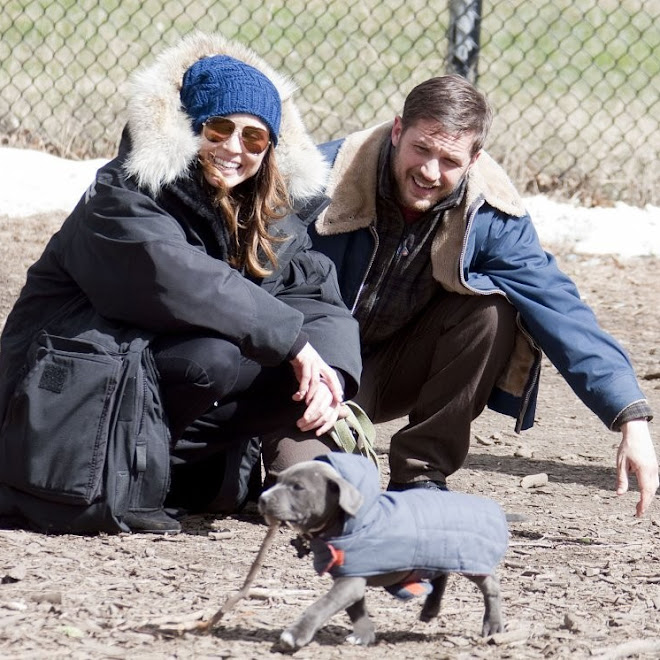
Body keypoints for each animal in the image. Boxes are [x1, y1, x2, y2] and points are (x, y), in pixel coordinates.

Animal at [258, 454, 510, 648]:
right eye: (278, 480)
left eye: (298, 487)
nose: (262, 499)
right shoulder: (351, 575)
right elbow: (356, 609)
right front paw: (364, 635)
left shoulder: (350, 580)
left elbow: (323, 604)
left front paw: (296, 634)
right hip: (438, 552)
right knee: (441, 576)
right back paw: (430, 610)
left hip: (468, 557)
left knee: (490, 585)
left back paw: (493, 625)